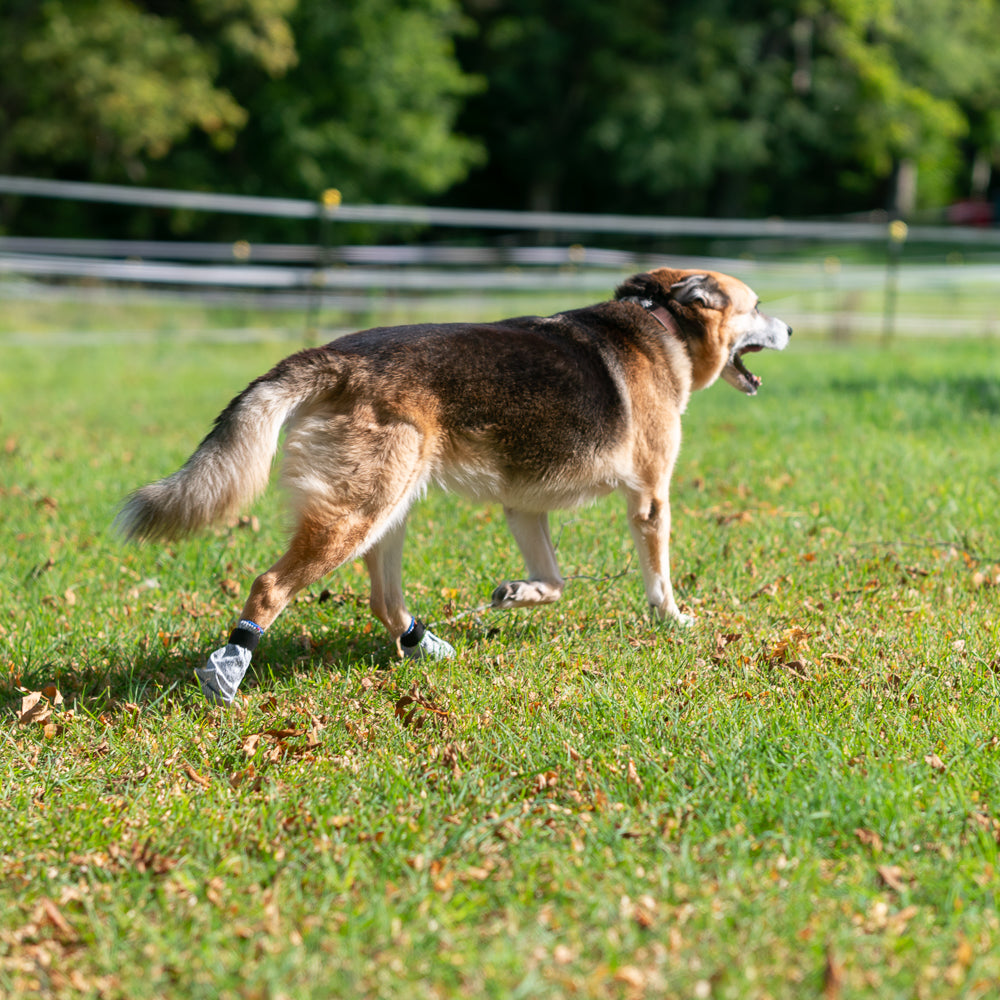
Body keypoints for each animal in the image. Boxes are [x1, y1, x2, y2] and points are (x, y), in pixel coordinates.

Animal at [115, 268, 788, 704]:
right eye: (756, 306)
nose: (789, 330)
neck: (664, 324)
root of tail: (333, 357)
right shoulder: (650, 498)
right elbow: (658, 577)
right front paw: (673, 620)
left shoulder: (524, 506)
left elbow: (554, 582)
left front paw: (516, 594)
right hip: (358, 513)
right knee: (269, 587)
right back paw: (228, 671)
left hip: (389, 510)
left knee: (383, 601)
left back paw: (424, 647)